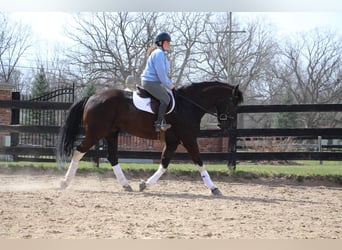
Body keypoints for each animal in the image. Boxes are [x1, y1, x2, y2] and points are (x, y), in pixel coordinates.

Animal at [56, 80, 243, 195]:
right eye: (233, 104)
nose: (227, 126)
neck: (188, 105)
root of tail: (92, 97)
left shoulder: (173, 140)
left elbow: (164, 163)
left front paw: (144, 184)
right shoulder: (188, 138)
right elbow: (199, 161)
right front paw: (214, 188)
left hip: (111, 133)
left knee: (112, 157)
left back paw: (126, 185)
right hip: (96, 133)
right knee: (78, 151)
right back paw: (64, 182)